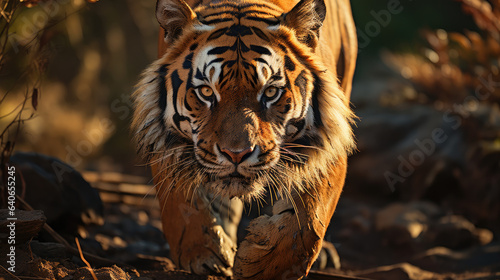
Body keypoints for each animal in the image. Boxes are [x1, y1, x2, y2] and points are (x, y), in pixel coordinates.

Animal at [131, 0, 358, 276]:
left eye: (270, 92)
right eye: (206, 92)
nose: (236, 154)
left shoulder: (328, 142)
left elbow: (309, 219)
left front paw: (262, 266)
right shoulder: (164, 141)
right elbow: (180, 201)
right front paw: (203, 253)